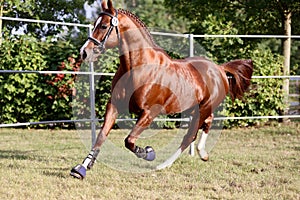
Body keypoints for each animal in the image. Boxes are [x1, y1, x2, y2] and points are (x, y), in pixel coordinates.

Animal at [70, 0, 253, 179]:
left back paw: (164, 165)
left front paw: (149, 152)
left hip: (203, 108)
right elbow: (101, 136)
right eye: (95, 23)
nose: (84, 52)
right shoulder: (114, 105)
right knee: (208, 122)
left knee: (189, 136)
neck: (138, 67)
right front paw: (81, 168)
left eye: (103, 26)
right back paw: (203, 153)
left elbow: (129, 140)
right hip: (194, 108)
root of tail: (219, 69)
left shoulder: (150, 113)